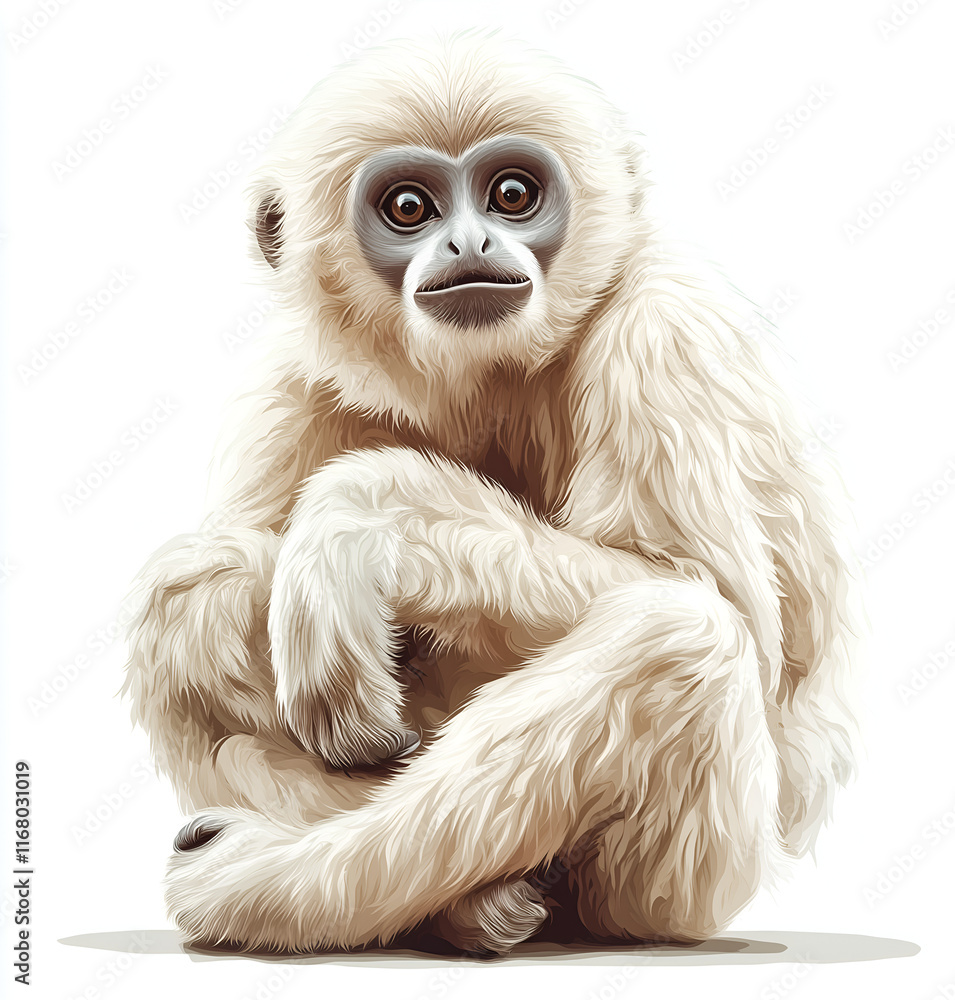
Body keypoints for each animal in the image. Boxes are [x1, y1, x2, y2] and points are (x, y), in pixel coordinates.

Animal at [123, 31, 860, 956]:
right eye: (409, 208)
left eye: (511, 195)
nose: (468, 244)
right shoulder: (288, 389)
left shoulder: (662, 331)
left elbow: (719, 605)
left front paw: (361, 517)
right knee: (197, 590)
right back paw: (465, 904)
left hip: (688, 881)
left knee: (679, 638)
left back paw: (270, 887)